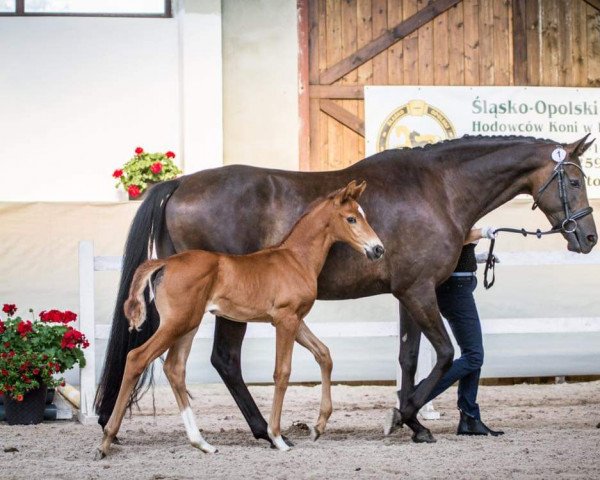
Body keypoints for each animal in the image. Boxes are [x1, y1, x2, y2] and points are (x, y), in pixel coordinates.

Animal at [95, 181, 382, 458]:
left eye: (363, 216)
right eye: (351, 218)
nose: (378, 249)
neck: (296, 258)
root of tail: (165, 263)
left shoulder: (295, 320)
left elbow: (324, 354)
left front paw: (319, 426)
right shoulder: (285, 319)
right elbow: (282, 372)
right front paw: (277, 437)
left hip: (188, 325)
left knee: (175, 368)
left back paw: (202, 443)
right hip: (177, 324)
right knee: (137, 358)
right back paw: (106, 441)